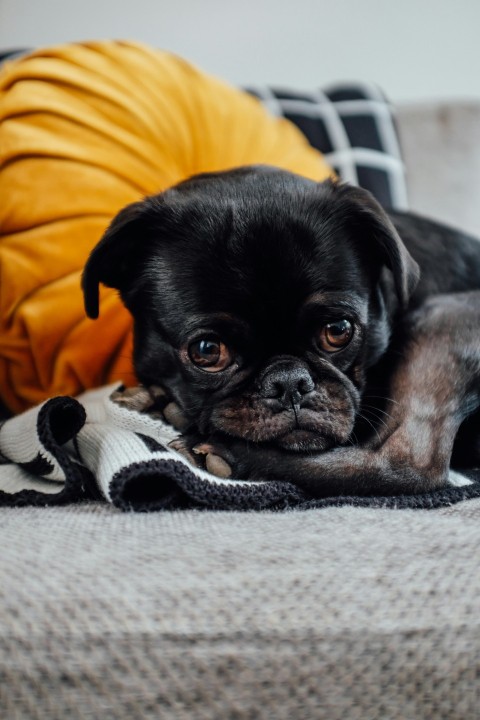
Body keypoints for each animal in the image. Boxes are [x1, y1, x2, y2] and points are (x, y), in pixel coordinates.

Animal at [81, 167, 480, 498]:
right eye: (207, 350)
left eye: (338, 330)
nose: (289, 381)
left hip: (443, 319)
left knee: (409, 463)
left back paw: (227, 453)